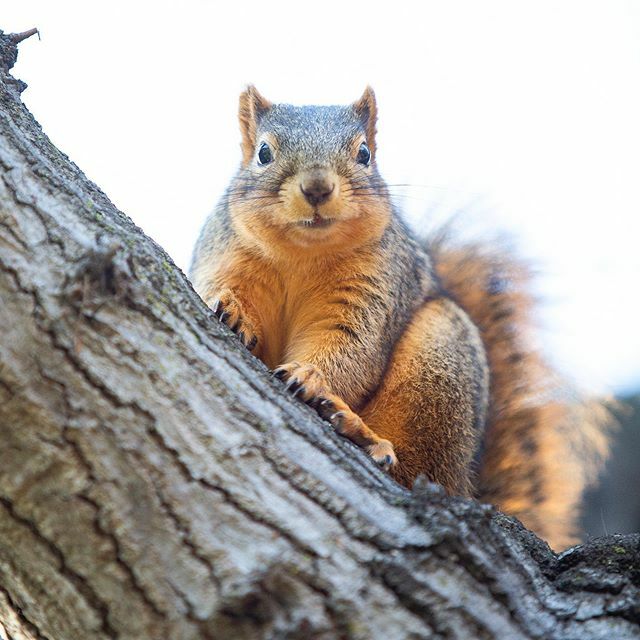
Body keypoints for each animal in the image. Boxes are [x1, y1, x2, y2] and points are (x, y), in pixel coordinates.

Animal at [190, 86, 611, 550]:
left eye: (364, 154)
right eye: (263, 153)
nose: (317, 187)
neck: (302, 254)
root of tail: (465, 481)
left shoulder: (377, 289)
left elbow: (353, 347)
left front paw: (309, 377)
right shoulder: (224, 255)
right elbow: (214, 289)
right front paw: (232, 310)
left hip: (437, 363)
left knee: (412, 471)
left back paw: (364, 436)